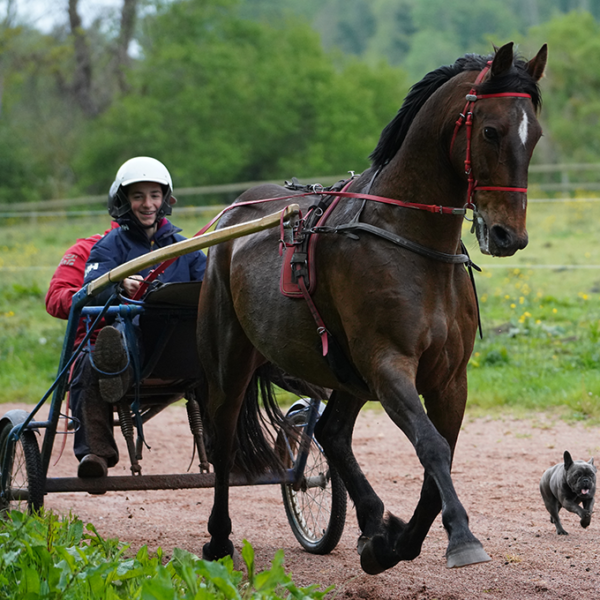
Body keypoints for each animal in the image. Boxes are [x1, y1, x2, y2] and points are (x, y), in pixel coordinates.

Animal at [197, 41, 548, 572]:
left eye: (536, 135)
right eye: (491, 131)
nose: (510, 235)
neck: (409, 240)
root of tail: (232, 216)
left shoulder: (449, 376)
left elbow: (441, 455)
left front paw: (395, 539)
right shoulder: (387, 363)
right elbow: (431, 446)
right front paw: (461, 538)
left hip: (344, 371)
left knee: (332, 432)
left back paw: (373, 522)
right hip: (231, 353)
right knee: (222, 438)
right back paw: (219, 539)